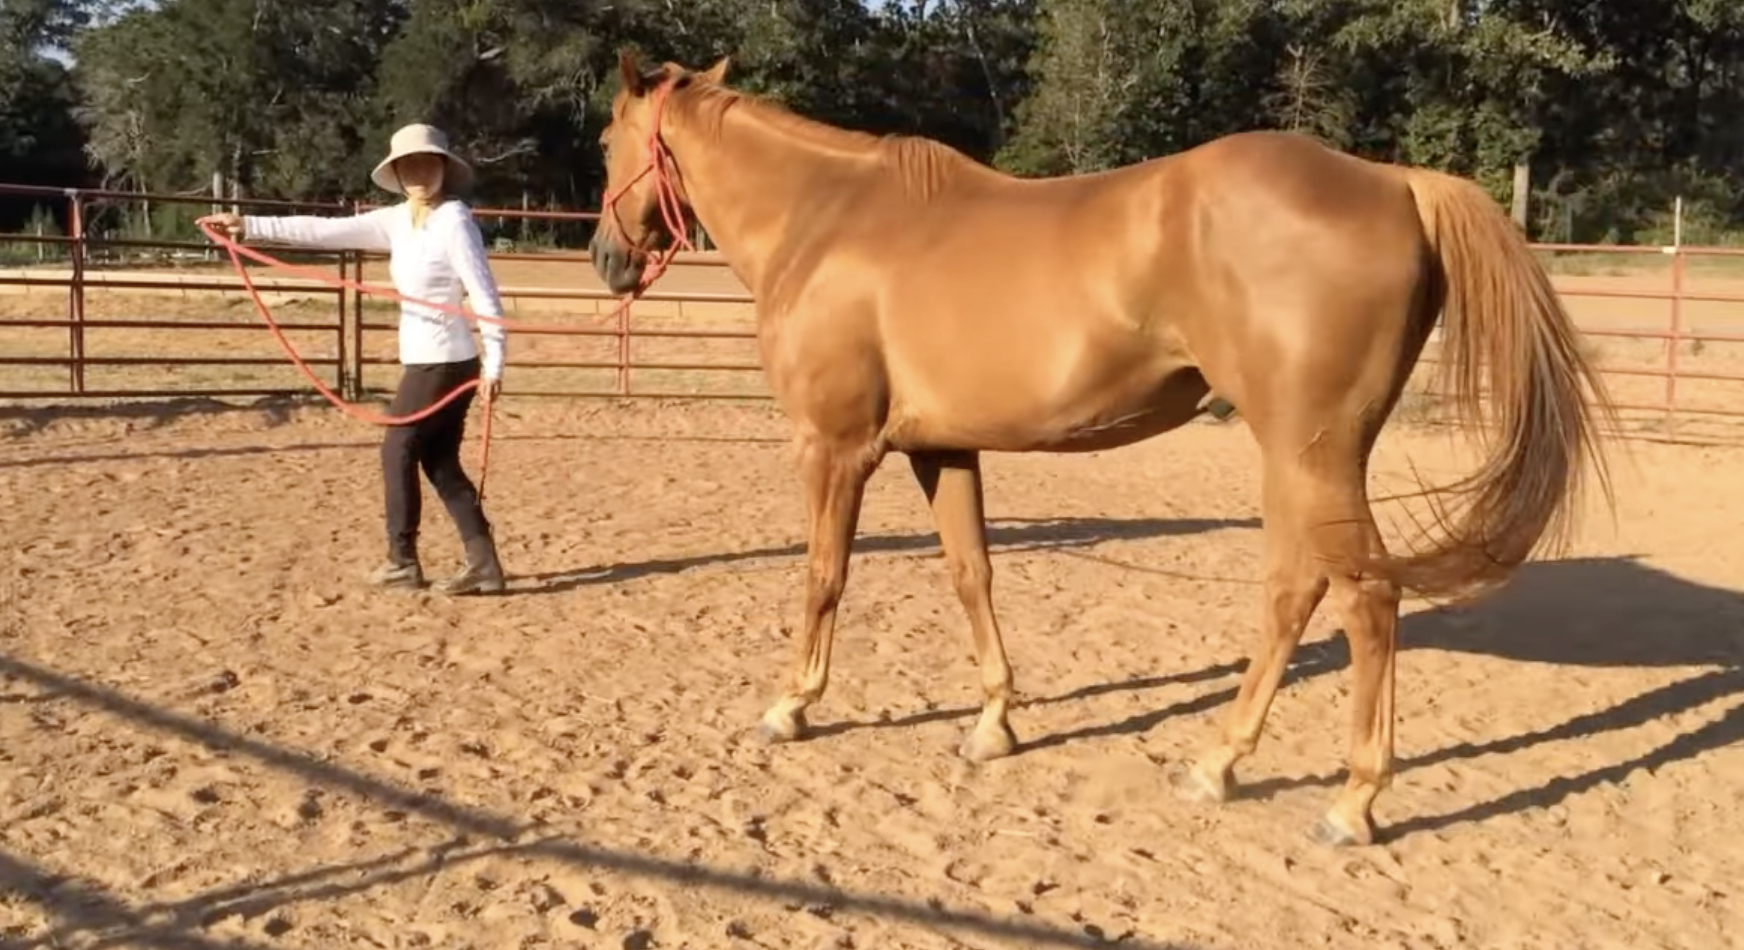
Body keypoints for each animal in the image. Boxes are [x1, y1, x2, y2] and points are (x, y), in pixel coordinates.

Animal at [587, 50, 1617, 846]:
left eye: (605, 141)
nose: (605, 258)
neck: (829, 218)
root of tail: (1395, 180)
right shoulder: (942, 450)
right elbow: (972, 573)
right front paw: (993, 721)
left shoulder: (834, 449)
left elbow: (823, 576)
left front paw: (790, 706)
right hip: (1300, 458)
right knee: (1296, 591)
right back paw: (1217, 763)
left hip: (1313, 456)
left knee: (1367, 598)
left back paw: (1352, 802)